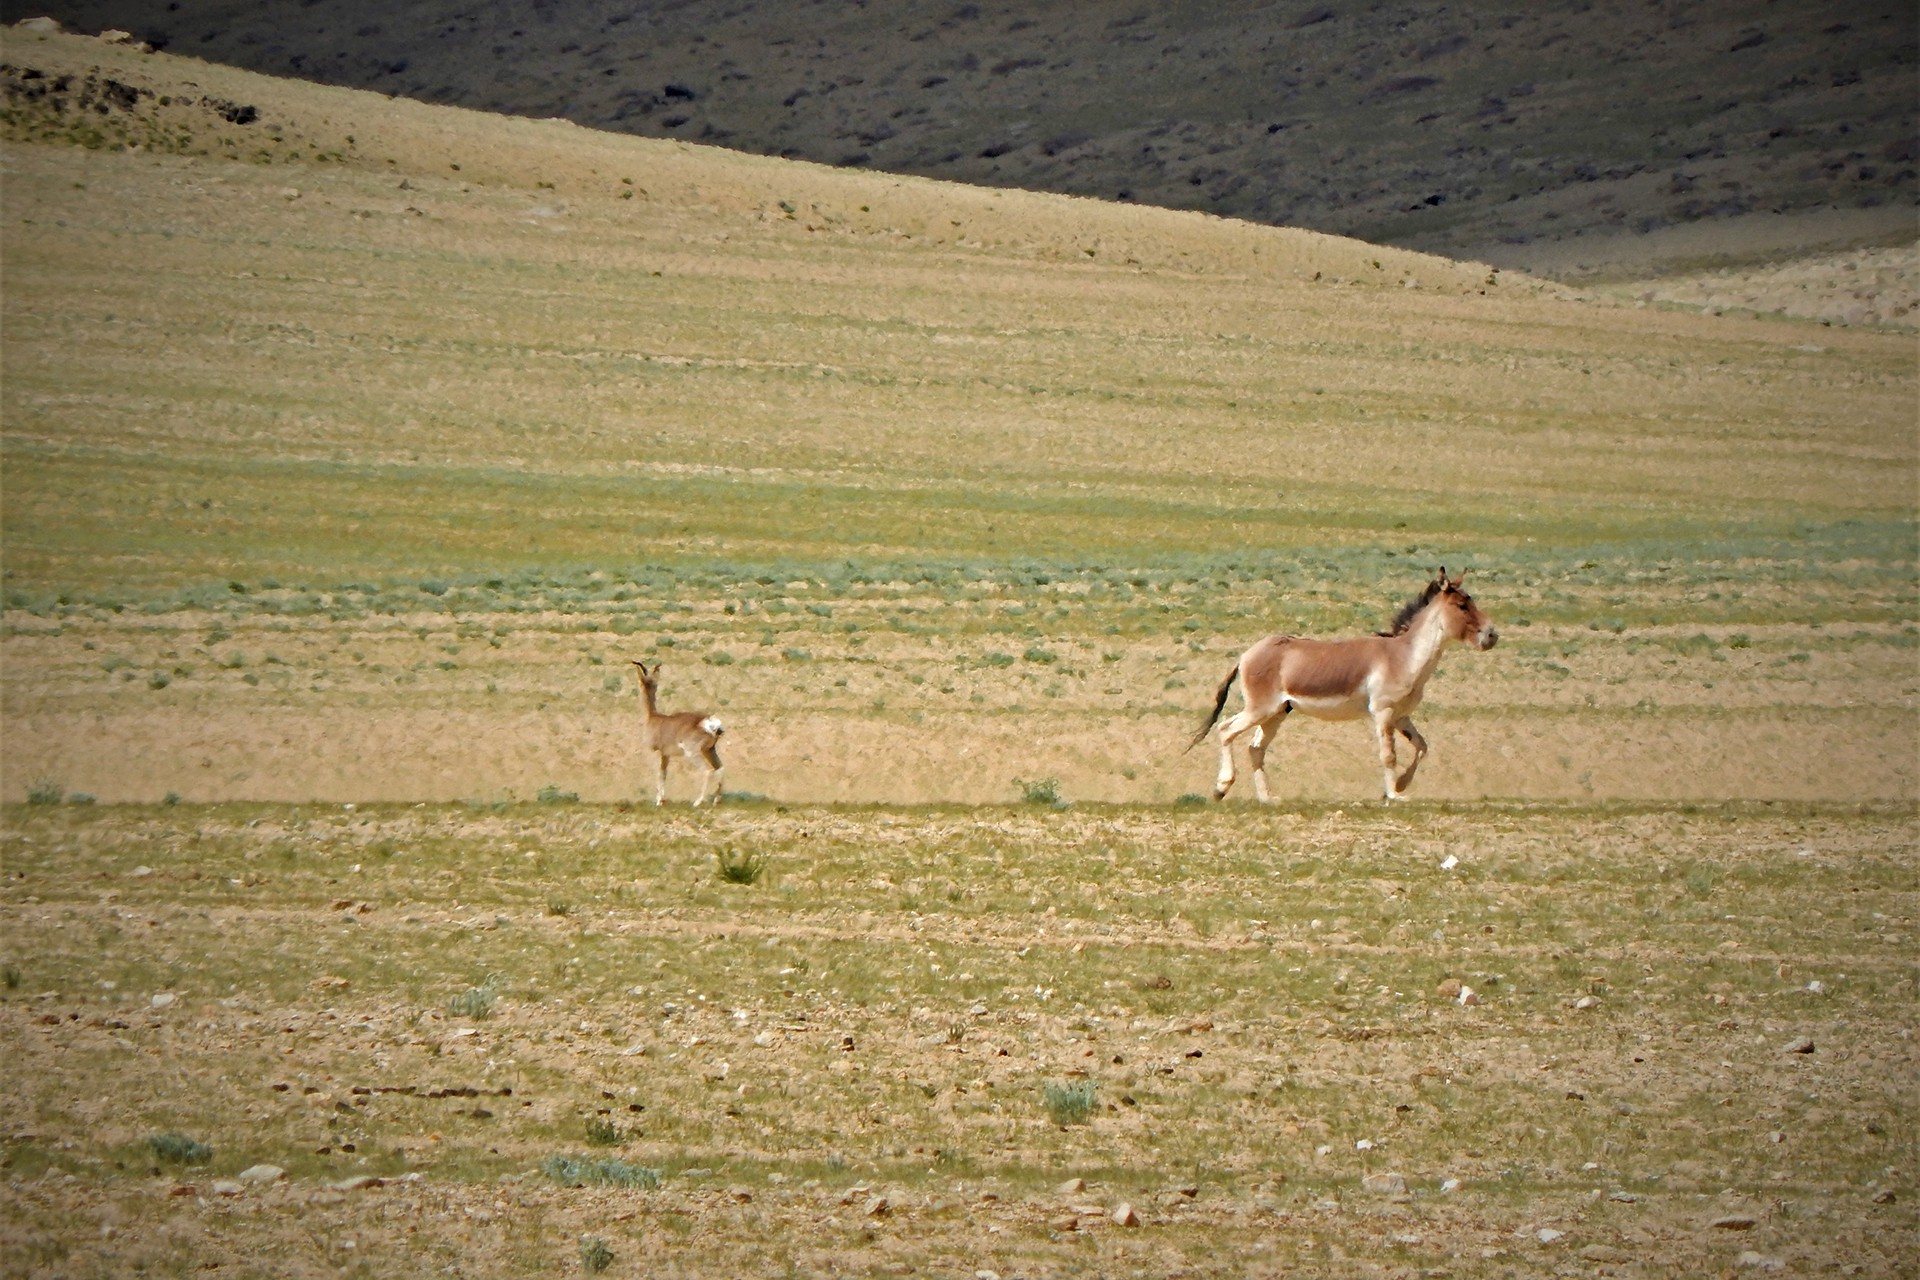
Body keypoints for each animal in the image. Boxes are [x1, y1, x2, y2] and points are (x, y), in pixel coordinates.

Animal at [630, 660, 725, 806]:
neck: (652, 717)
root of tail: (708, 722)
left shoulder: (656, 753)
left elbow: (658, 774)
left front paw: (658, 801)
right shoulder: (666, 755)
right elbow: (664, 775)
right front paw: (661, 800)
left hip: (693, 753)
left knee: (708, 771)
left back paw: (697, 802)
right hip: (709, 751)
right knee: (720, 768)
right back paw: (716, 800)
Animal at [1189, 569, 1498, 803]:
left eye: (1471, 601)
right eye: (1462, 606)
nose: (1492, 635)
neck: (1403, 656)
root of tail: (1246, 654)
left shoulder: (1401, 716)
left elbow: (1422, 746)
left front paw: (1400, 785)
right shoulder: (1383, 713)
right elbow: (1388, 755)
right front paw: (1394, 795)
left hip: (1276, 713)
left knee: (1255, 749)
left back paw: (1267, 797)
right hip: (1260, 709)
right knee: (1225, 729)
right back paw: (1221, 788)